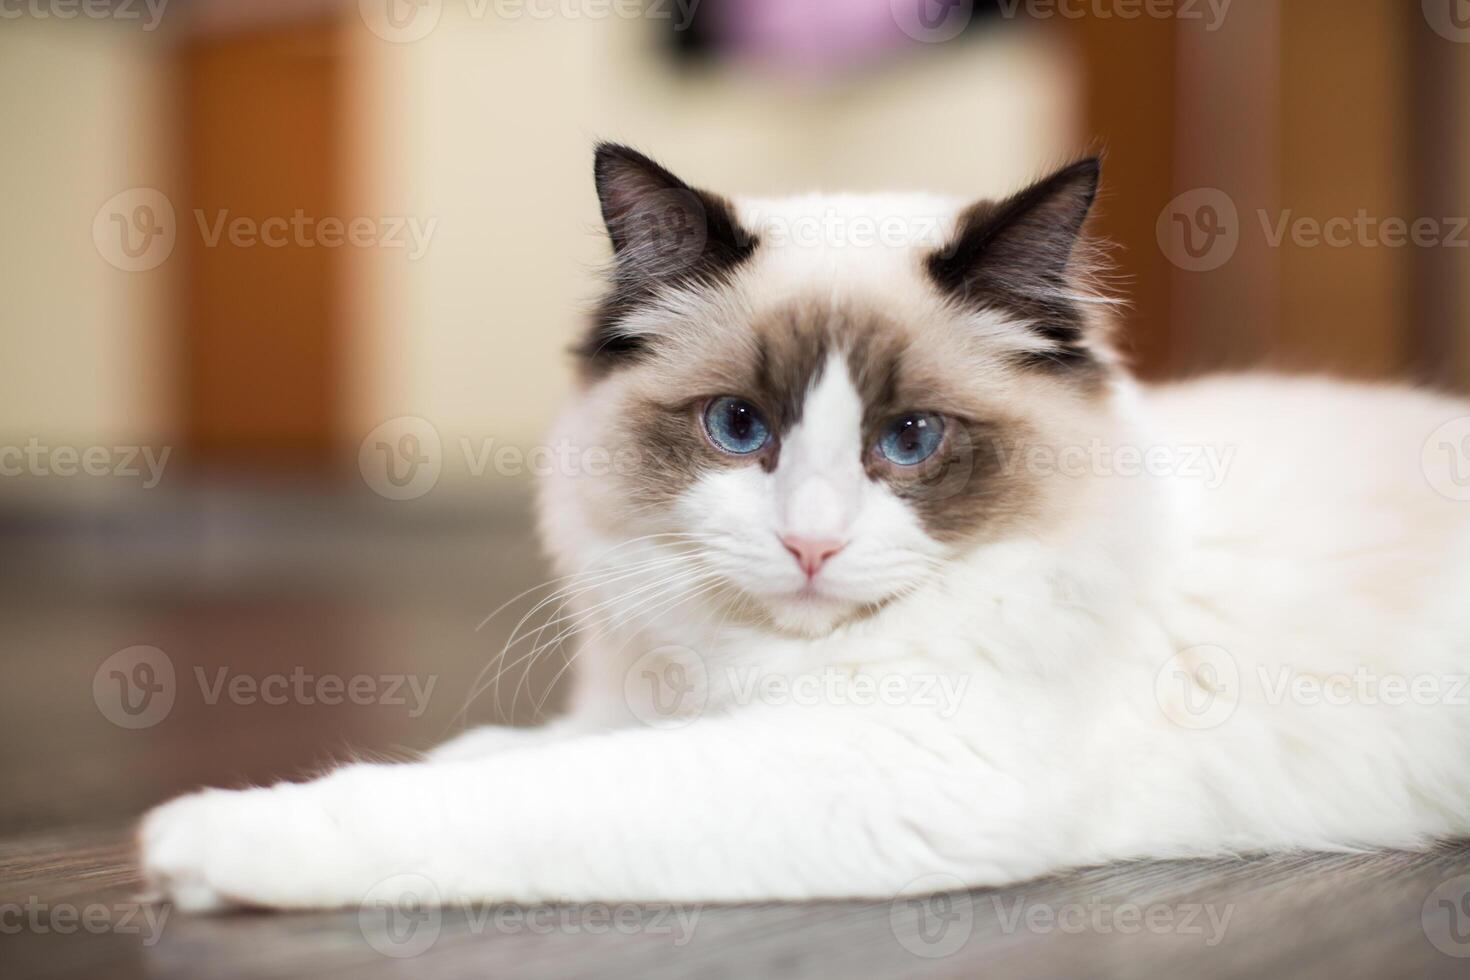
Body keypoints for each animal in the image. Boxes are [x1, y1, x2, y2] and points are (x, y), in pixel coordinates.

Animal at [140, 141, 1470, 910]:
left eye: (911, 439)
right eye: (739, 426)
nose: (812, 545)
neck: (746, 666)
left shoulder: (864, 763)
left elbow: (489, 800)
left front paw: (195, 843)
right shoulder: (637, 707)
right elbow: (488, 756)